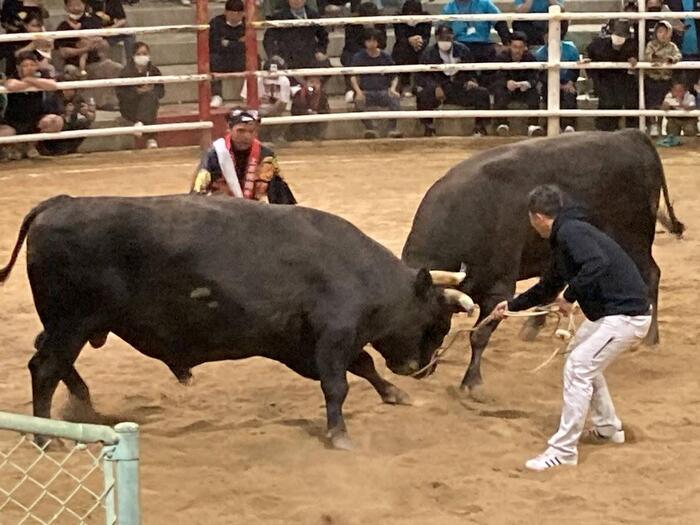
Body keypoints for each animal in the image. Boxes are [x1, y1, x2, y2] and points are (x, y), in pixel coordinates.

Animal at [0, 194, 474, 448]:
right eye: (437, 321)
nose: (423, 369)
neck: (357, 269)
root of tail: (60, 204)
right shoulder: (333, 336)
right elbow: (338, 384)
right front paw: (339, 435)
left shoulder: (304, 344)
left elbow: (364, 366)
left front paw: (395, 394)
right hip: (72, 322)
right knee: (45, 367)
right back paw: (45, 435)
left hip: (69, 325)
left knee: (52, 359)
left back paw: (81, 405)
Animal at [402, 130, 680, 398]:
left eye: (434, 322)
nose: (418, 370)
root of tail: (629, 135)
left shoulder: (500, 289)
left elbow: (479, 335)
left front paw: (473, 383)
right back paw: (533, 326)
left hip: (635, 239)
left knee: (651, 275)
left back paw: (650, 337)